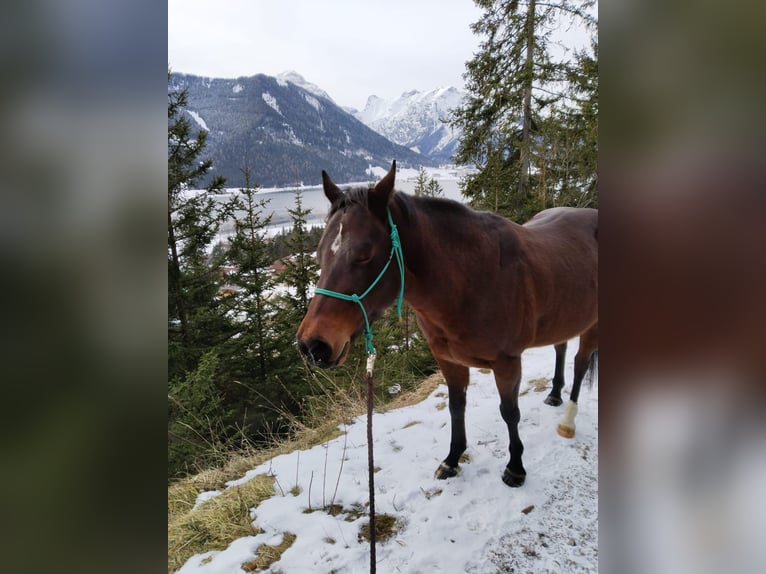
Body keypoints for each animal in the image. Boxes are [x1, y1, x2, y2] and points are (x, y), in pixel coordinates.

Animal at [296, 161, 598, 487]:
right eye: (319, 253)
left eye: (364, 255)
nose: (312, 344)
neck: (474, 279)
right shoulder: (448, 360)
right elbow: (456, 407)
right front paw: (452, 460)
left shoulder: (507, 363)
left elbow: (509, 412)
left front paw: (515, 467)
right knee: (560, 348)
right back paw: (554, 395)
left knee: (581, 364)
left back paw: (568, 421)